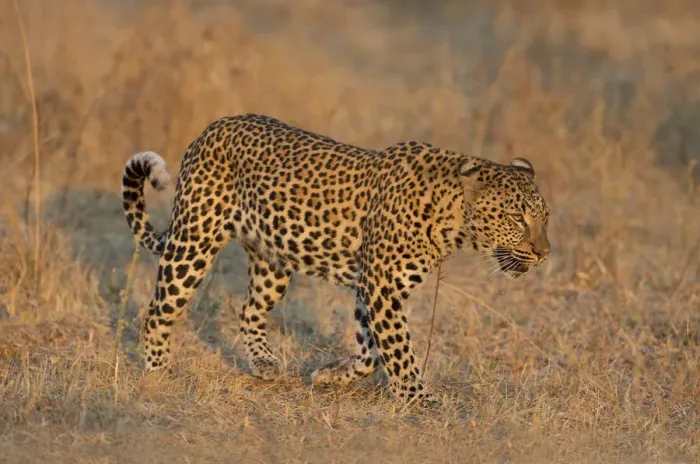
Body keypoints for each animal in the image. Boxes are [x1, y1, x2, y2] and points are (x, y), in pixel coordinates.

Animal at [121, 113, 550, 406]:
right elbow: (398, 348)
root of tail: (210, 129)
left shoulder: (372, 287)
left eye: (544, 218)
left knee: (249, 311)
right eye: (517, 218)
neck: (452, 222)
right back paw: (158, 372)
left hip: (273, 261)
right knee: (158, 310)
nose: (544, 253)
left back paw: (264, 364)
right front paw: (419, 399)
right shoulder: (380, 285)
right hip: (193, 243)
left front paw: (332, 375)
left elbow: (371, 350)